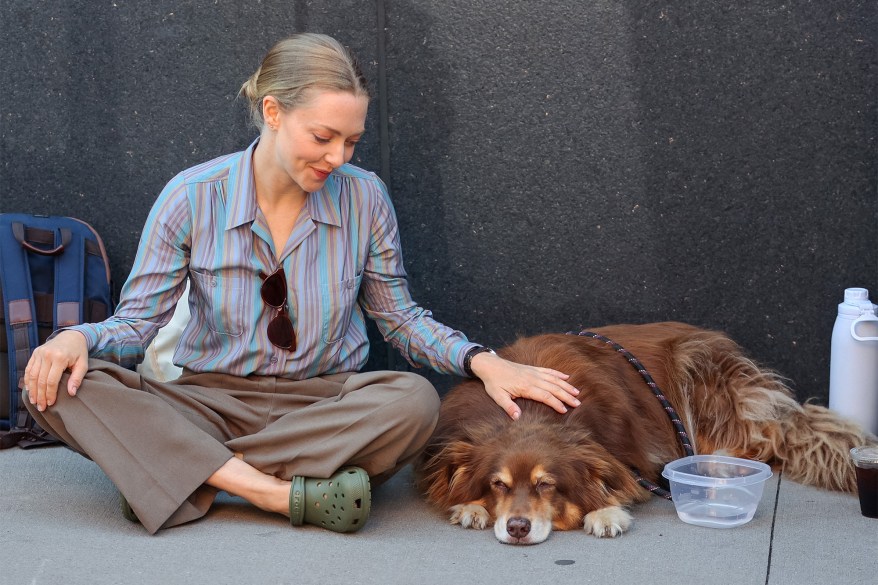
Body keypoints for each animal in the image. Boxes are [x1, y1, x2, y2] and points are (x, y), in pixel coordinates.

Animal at [416, 320, 876, 544]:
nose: (517, 528)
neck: (530, 411)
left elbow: (616, 485)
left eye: (548, 485)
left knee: (757, 442)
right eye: (497, 485)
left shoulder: (625, 451)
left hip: (699, 377)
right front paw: (471, 507)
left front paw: (606, 513)